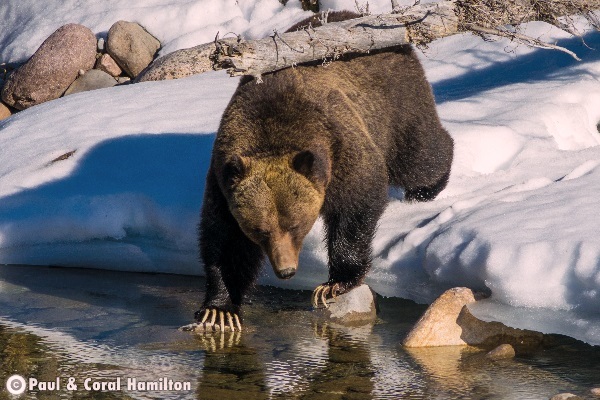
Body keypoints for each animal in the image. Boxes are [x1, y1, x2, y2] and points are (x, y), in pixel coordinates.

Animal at [195, 11, 452, 332]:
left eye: (295, 225)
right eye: (260, 230)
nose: (286, 271)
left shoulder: (340, 148)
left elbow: (356, 205)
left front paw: (334, 284)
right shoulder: (223, 181)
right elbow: (225, 240)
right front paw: (219, 309)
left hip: (395, 104)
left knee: (419, 156)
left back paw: (428, 187)